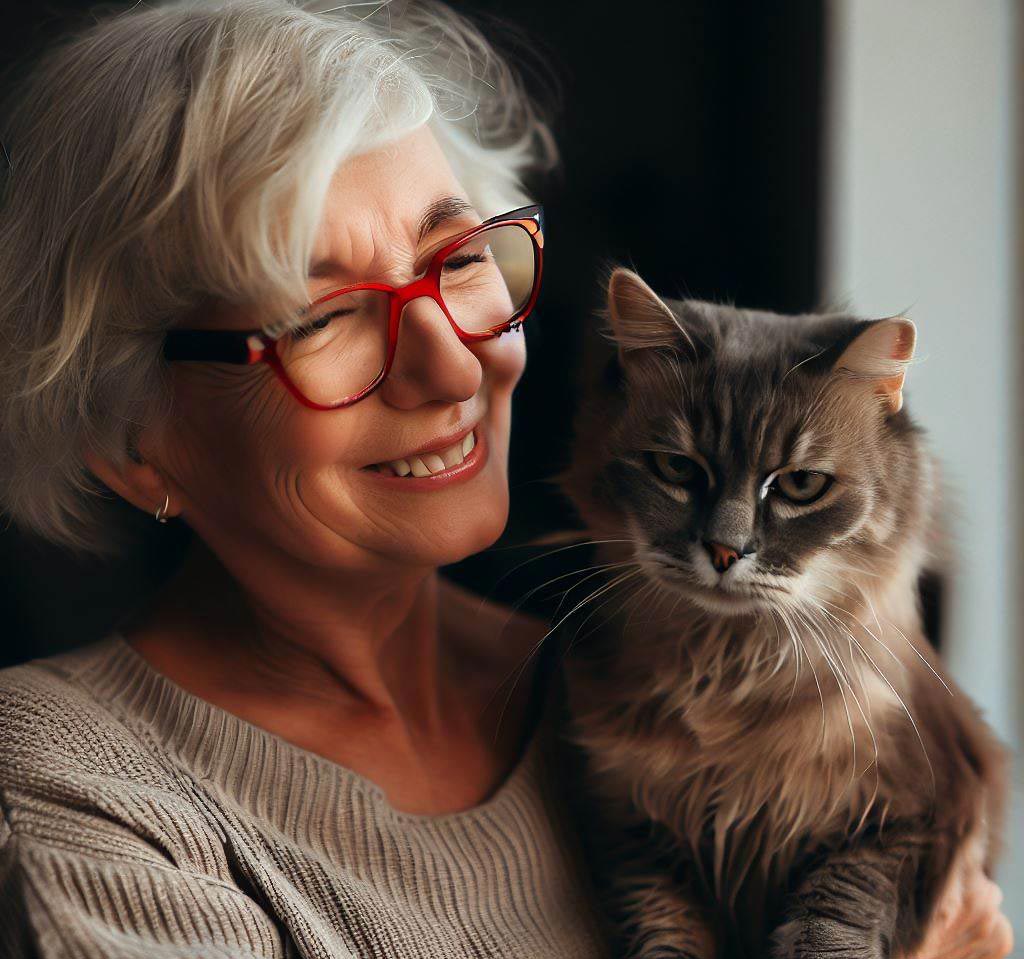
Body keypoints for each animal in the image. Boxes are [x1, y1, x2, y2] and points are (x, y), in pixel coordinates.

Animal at [557, 268, 1003, 957]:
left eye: (799, 485)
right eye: (678, 469)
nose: (723, 551)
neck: (727, 680)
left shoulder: (923, 810)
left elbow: (836, 912)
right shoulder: (632, 826)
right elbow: (664, 932)